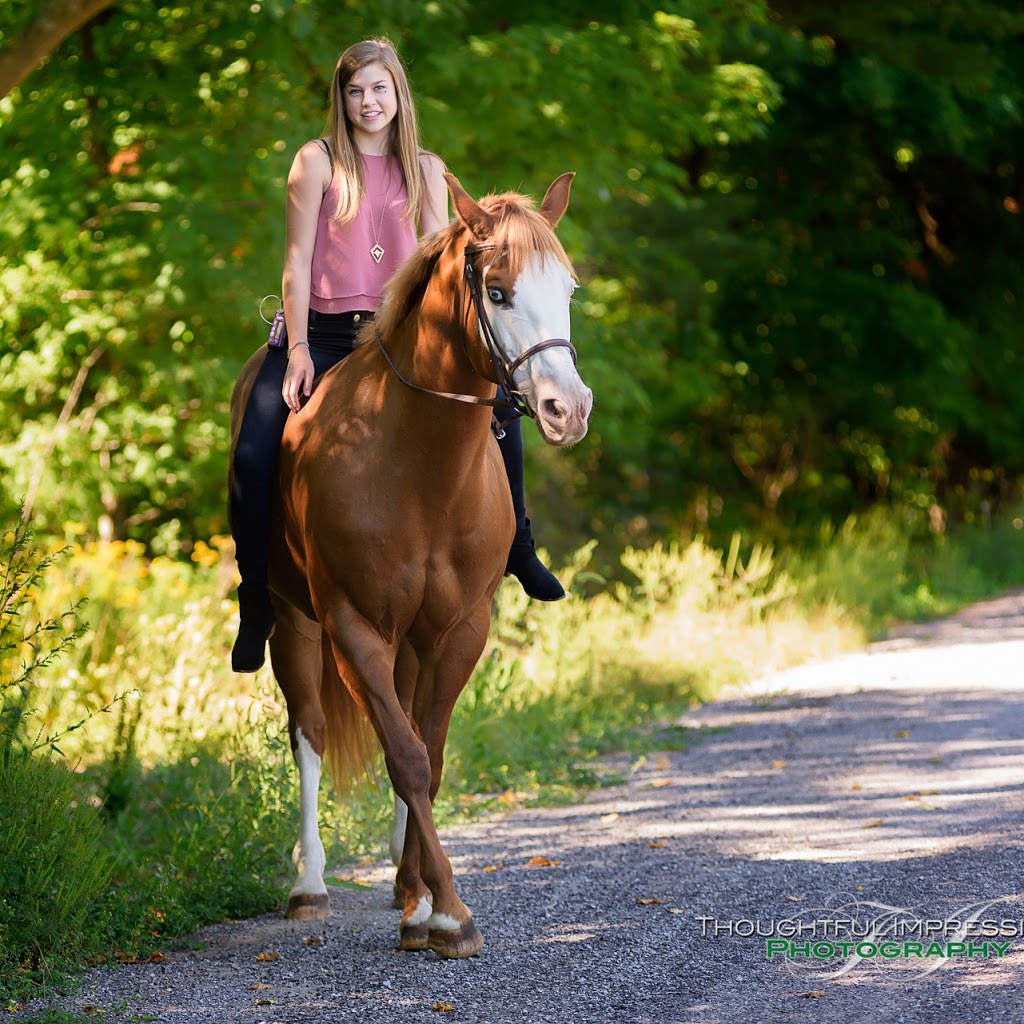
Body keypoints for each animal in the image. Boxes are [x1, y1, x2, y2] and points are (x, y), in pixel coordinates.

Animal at [227, 169, 589, 958]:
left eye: (569, 290)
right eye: (498, 292)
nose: (568, 408)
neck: (417, 466)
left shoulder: (459, 630)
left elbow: (432, 752)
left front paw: (424, 902)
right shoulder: (353, 628)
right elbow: (406, 756)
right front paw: (449, 913)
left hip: (412, 640)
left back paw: (403, 881)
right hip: (295, 624)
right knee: (309, 734)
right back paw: (311, 886)